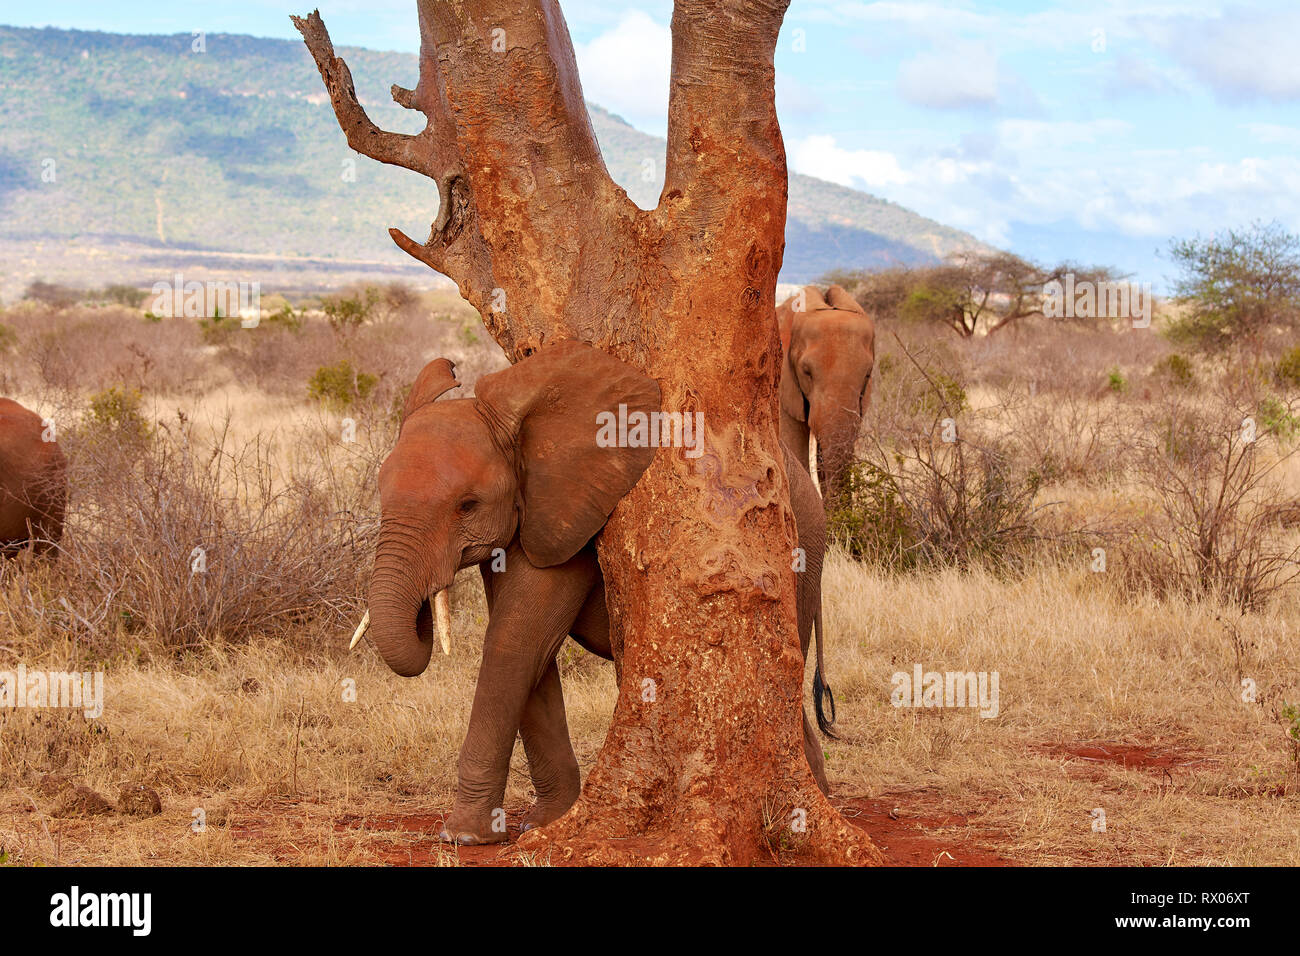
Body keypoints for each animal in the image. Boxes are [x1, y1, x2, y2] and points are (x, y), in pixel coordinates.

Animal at [351, 343, 837, 842]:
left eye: (467, 505)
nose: (425, 610)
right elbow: (534, 653)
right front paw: (547, 822)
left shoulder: (576, 521)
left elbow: (513, 642)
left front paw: (464, 836)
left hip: (793, 554)